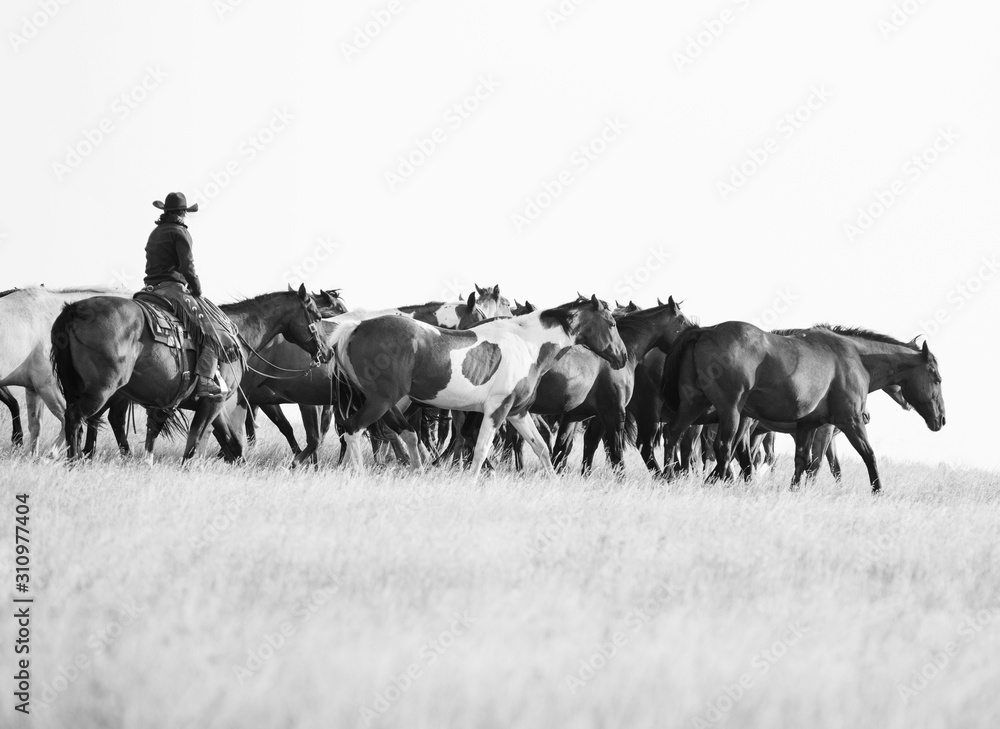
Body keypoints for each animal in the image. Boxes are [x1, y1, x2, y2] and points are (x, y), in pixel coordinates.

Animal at [51, 285, 330, 462]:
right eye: (316, 316)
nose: (327, 352)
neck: (236, 334)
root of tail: (73, 310)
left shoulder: (214, 406)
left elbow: (233, 447)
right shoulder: (214, 402)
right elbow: (196, 445)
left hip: (97, 391)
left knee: (92, 421)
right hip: (103, 390)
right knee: (78, 417)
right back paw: (76, 461)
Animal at [327, 295, 628, 479]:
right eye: (612, 323)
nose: (622, 357)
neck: (526, 344)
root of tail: (354, 328)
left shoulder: (518, 413)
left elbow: (541, 447)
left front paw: (553, 482)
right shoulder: (496, 410)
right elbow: (482, 447)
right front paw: (474, 479)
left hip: (389, 403)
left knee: (404, 434)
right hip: (382, 401)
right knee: (353, 429)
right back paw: (360, 474)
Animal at [661, 323, 945, 492]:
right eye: (937, 378)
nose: (941, 419)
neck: (855, 357)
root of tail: (705, 331)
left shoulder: (809, 425)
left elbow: (803, 461)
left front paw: (795, 490)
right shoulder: (849, 421)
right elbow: (867, 455)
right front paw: (878, 492)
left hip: (694, 406)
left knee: (674, 435)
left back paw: (668, 477)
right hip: (731, 411)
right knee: (723, 447)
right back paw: (716, 482)